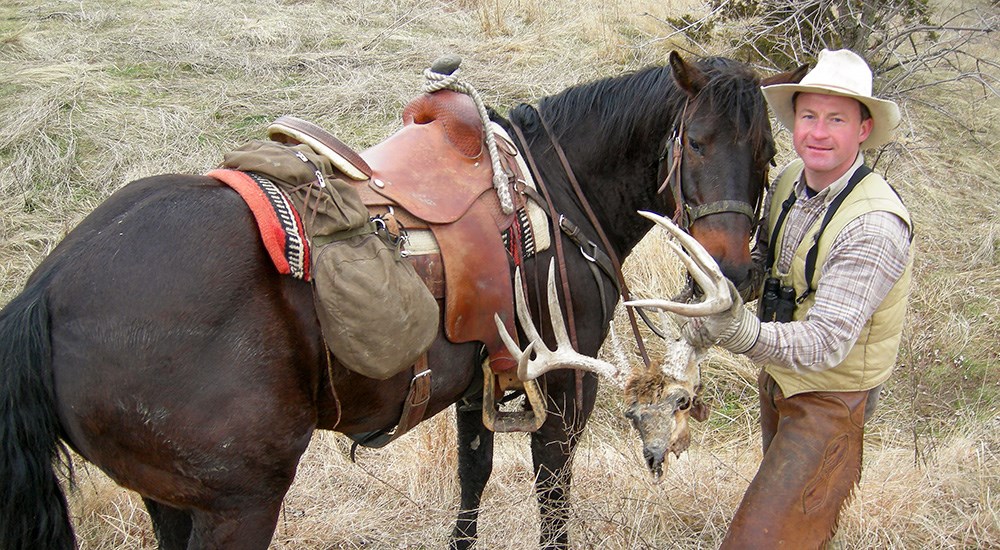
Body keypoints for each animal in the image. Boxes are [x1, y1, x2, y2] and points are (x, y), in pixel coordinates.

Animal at [0, 50, 796, 548]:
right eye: (695, 143)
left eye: (767, 153)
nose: (733, 270)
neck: (552, 189)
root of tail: (47, 288)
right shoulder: (567, 385)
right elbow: (552, 499)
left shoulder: (486, 378)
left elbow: (473, 478)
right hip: (240, 500)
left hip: (168, 498)